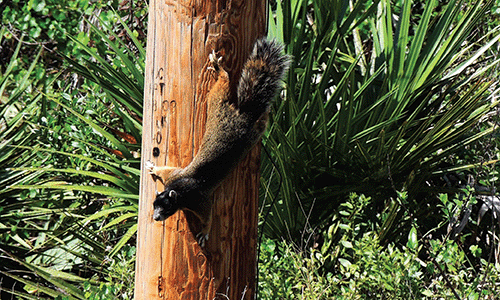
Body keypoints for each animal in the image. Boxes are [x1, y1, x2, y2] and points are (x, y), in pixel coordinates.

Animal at [146, 38, 290, 244]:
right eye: (154, 204)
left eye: (166, 207)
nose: (156, 217)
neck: (178, 189)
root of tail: (242, 116)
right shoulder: (173, 176)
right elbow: (165, 170)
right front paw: (152, 168)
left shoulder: (197, 200)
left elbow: (208, 216)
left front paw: (204, 232)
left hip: (221, 108)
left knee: (224, 83)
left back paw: (219, 69)